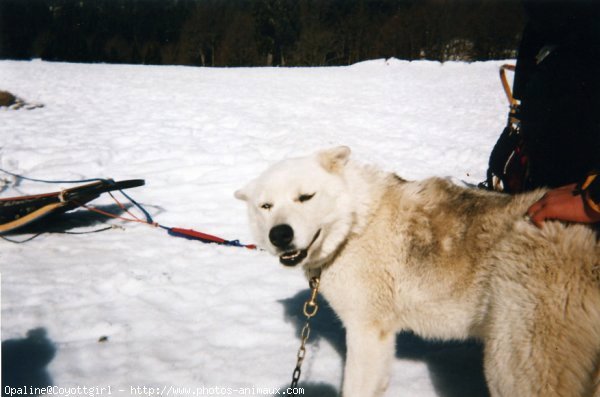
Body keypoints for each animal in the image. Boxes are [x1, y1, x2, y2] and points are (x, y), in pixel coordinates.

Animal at [234, 146, 600, 396]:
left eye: (305, 197)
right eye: (266, 206)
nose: (279, 234)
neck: (357, 225)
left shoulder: (367, 331)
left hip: (512, 366)